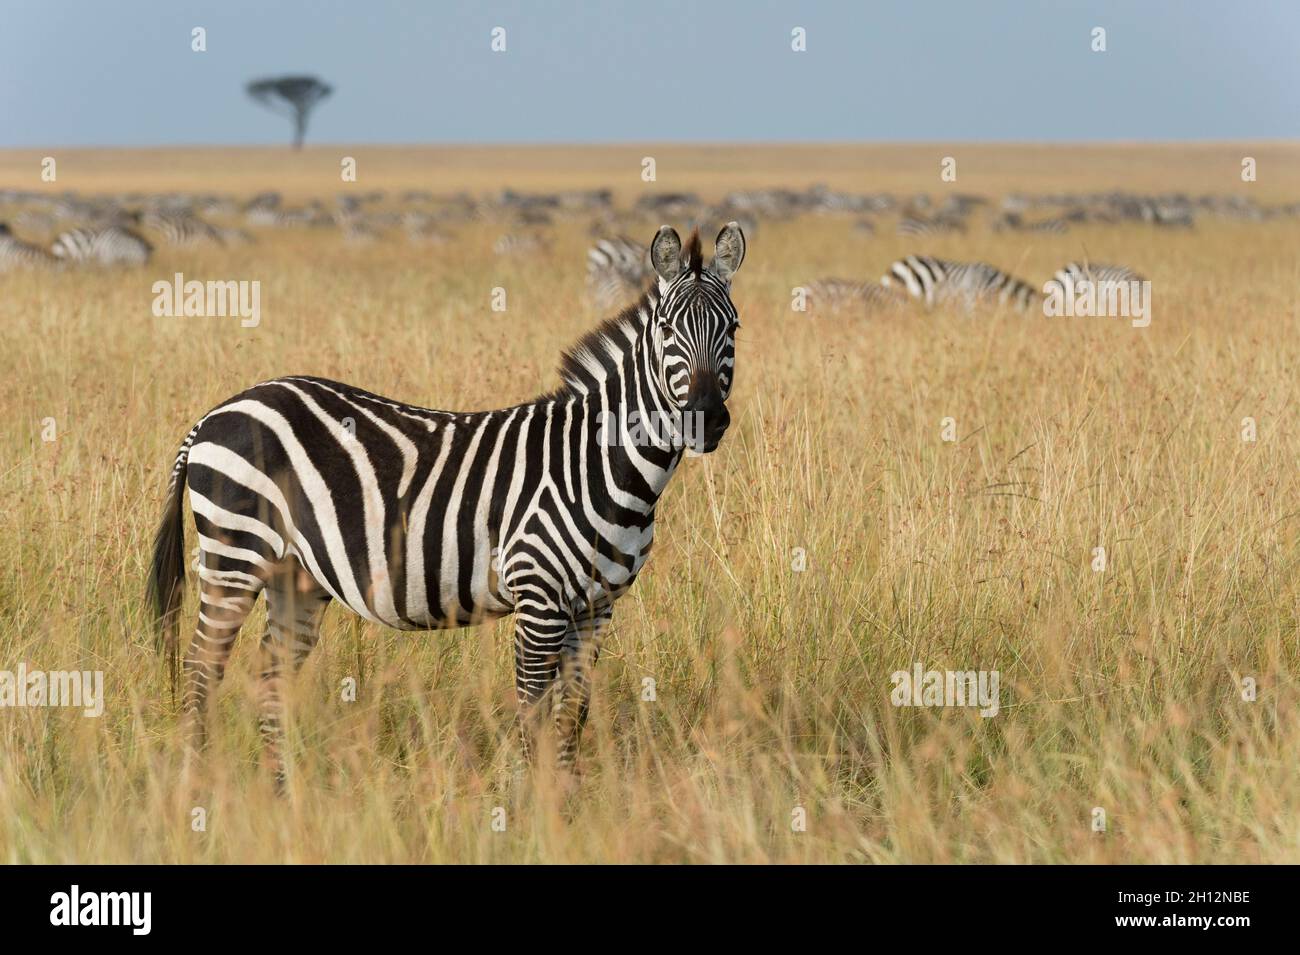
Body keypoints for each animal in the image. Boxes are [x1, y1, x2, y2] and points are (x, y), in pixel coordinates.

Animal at [147, 223, 747, 782]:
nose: (705, 418)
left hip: (294, 576)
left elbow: (572, 714)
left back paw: (280, 794)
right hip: (235, 555)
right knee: (201, 668)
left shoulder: (597, 607)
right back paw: (197, 785)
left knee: (270, 678)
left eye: (733, 328)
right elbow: (533, 714)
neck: (598, 463)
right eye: (666, 329)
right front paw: (537, 806)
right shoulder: (538, 598)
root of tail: (217, 413)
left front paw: (567, 801)